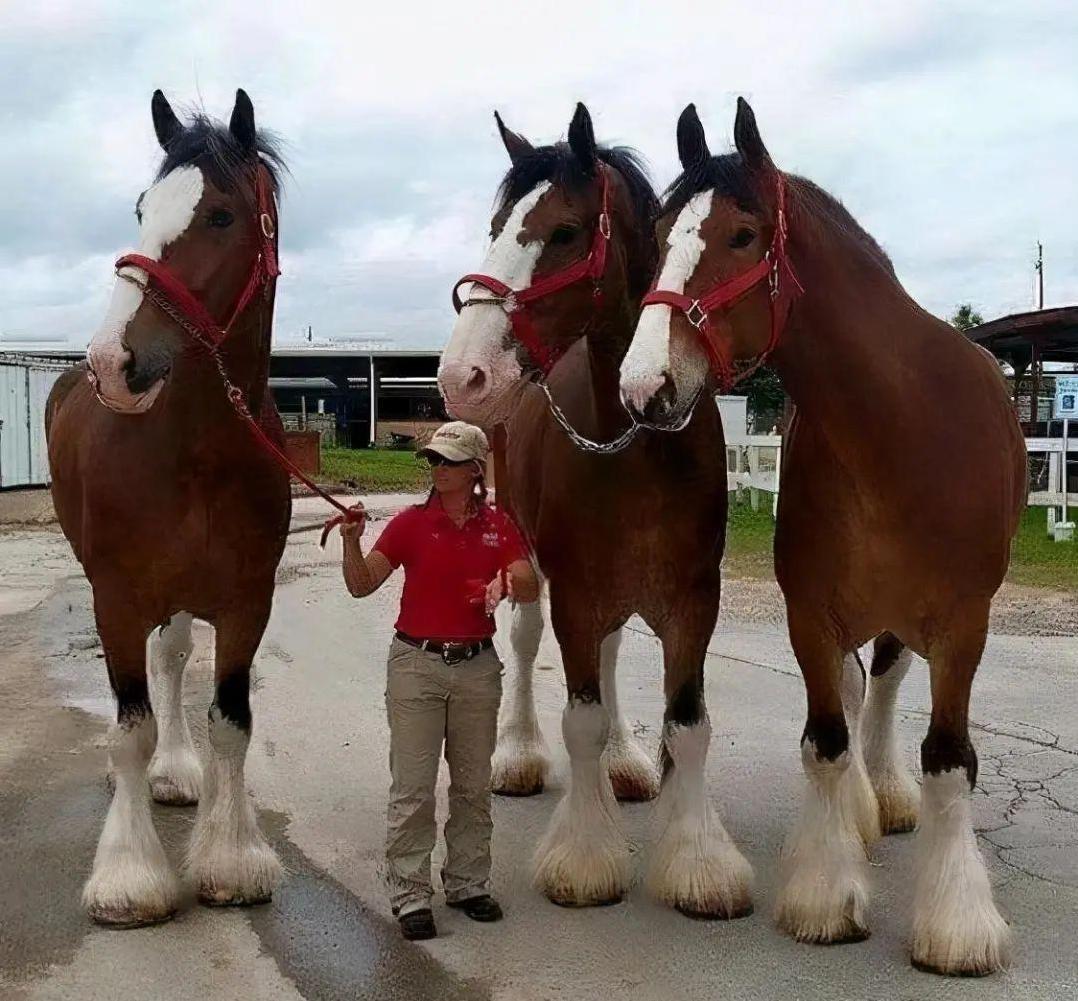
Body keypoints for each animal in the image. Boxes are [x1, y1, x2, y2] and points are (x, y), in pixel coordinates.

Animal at [46, 89, 291, 926]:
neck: (196, 453)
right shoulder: (116, 598)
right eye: (141, 208)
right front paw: (129, 875)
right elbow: (129, 728)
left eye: (220, 214)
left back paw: (177, 771)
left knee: (175, 655)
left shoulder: (248, 601)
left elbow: (232, 723)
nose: (110, 363)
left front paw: (230, 856)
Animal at [437, 105, 750, 918]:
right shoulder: (575, 591)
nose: (461, 375)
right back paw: (518, 752)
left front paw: (698, 861)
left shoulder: (693, 600)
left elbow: (689, 725)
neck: (640, 444)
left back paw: (623, 760)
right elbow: (576, 718)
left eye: (565, 232)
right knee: (523, 641)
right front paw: (584, 857)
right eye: (496, 224)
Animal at [620, 97, 1021, 974]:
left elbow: (949, 761)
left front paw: (956, 923)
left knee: (888, 685)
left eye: (742, 235)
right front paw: (826, 895)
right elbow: (826, 741)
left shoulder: (964, 625)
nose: (644, 386)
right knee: (854, 689)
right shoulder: (809, 612)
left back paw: (890, 798)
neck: (899, 431)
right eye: (660, 233)